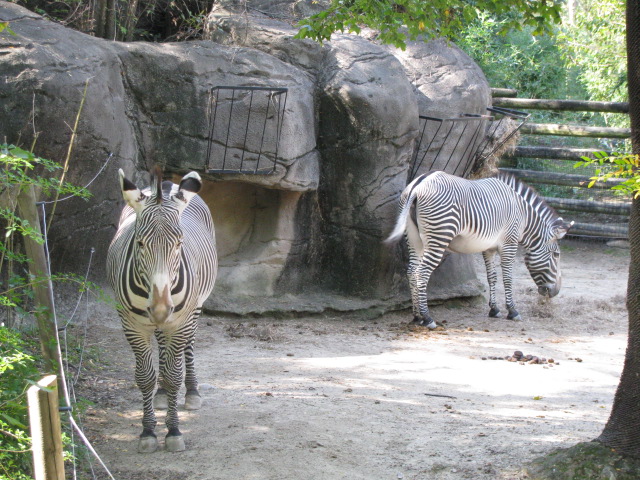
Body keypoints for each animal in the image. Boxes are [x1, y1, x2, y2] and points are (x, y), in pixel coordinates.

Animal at [107, 166, 217, 453]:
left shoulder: (179, 322)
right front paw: (147, 432)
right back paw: (161, 394)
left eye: (179, 243)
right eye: (140, 243)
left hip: (194, 309)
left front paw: (174, 431)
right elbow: (145, 376)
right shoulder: (132, 324)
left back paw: (192, 392)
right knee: (163, 349)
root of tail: (167, 184)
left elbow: (173, 375)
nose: (159, 307)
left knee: (187, 347)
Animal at [386, 171, 572, 328]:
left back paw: (416, 316)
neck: (524, 217)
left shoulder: (488, 248)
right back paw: (427, 318)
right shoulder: (509, 243)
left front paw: (494, 309)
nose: (555, 292)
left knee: (412, 271)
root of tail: (419, 184)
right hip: (439, 236)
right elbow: (507, 278)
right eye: (556, 255)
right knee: (422, 273)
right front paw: (512, 311)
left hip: (414, 238)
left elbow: (492, 277)